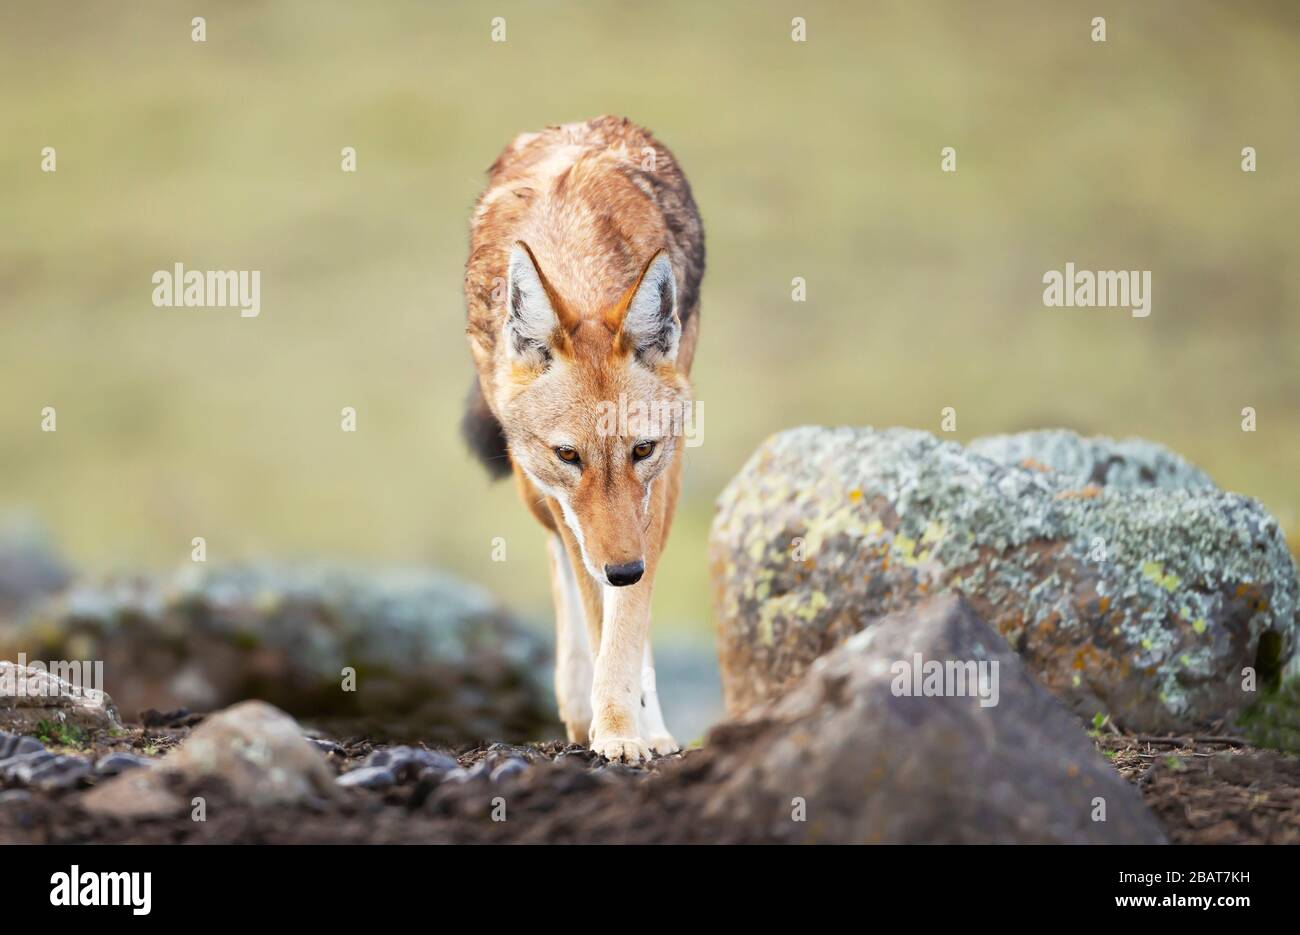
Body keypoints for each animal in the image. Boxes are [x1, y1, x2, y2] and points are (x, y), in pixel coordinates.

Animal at [462, 115, 707, 759]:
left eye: (641, 449)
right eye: (569, 454)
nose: (623, 570)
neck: (578, 255)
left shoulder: (656, 487)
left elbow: (628, 626)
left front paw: (625, 731)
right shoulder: (570, 506)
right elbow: (601, 619)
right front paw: (613, 727)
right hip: (533, 489)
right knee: (560, 561)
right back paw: (577, 704)